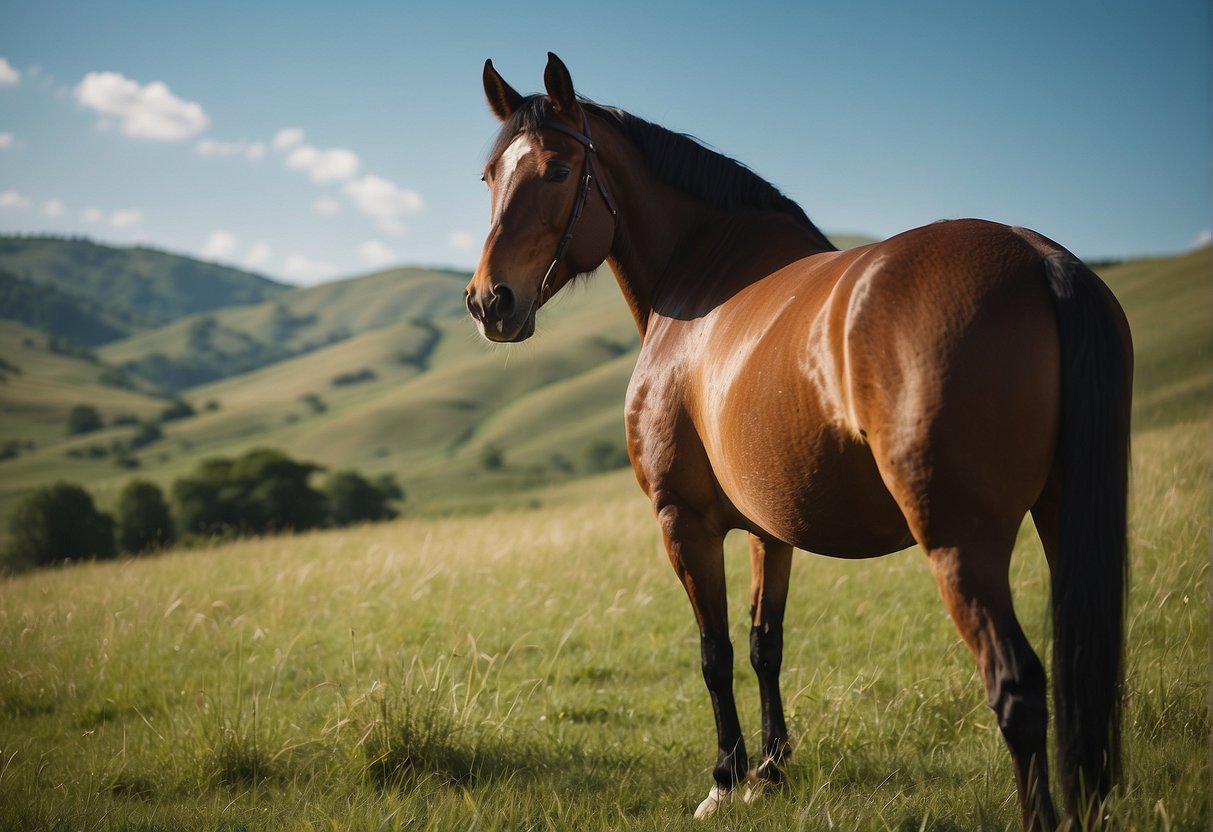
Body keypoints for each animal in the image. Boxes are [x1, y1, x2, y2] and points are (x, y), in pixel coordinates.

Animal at [464, 53, 1131, 831]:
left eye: (558, 170)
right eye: (491, 175)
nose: (489, 302)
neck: (702, 282)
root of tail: (1038, 261)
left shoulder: (683, 521)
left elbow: (715, 651)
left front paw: (725, 778)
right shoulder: (767, 528)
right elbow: (764, 644)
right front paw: (770, 770)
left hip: (961, 546)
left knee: (1016, 687)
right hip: (1061, 517)